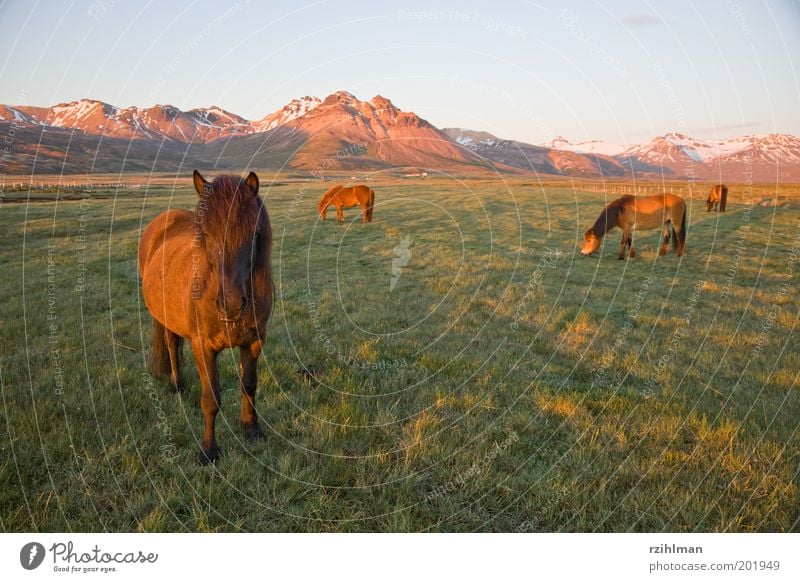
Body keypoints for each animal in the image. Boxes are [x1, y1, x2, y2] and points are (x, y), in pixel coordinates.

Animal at [139, 170, 274, 466]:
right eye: (207, 235)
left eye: (253, 234)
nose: (231, 304)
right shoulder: (202, 346)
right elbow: (210, 400)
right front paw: (208, 450)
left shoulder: (254, 341)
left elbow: (249, 385)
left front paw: (251, 428)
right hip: (165, 319)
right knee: (170, 345)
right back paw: (177, 384)